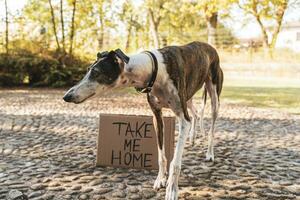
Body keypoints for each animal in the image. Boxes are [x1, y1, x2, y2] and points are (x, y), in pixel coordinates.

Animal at [62, 41, 223, 199]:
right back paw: (192, 137)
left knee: (211, 127)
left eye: (96, 72)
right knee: (195, 114)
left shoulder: (183, 120)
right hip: (188, 97)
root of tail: (209, 46)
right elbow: (161, 156)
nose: (66, 96)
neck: (154, 70)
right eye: (87, 70)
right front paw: (160, 179)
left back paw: (210, 153)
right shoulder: (156, 116)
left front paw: (172, 189)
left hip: (213, 98)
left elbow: (175, 162)